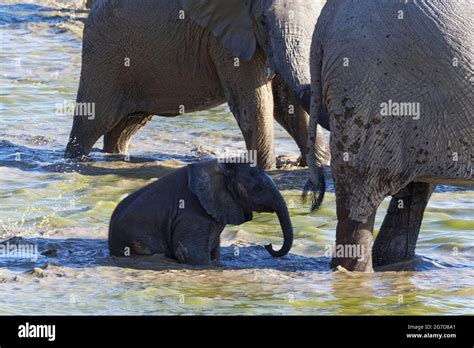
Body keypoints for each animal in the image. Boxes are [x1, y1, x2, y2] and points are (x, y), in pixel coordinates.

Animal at [65, 0, 328, 169]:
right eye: (263, 21)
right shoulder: (226, 37)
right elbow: (254, 104)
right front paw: (266, 172)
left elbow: (286, 102)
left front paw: (316, 165)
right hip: (105, 56)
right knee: (92, 123)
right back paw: (75, 162)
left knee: (126, 126)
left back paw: (117, 159)